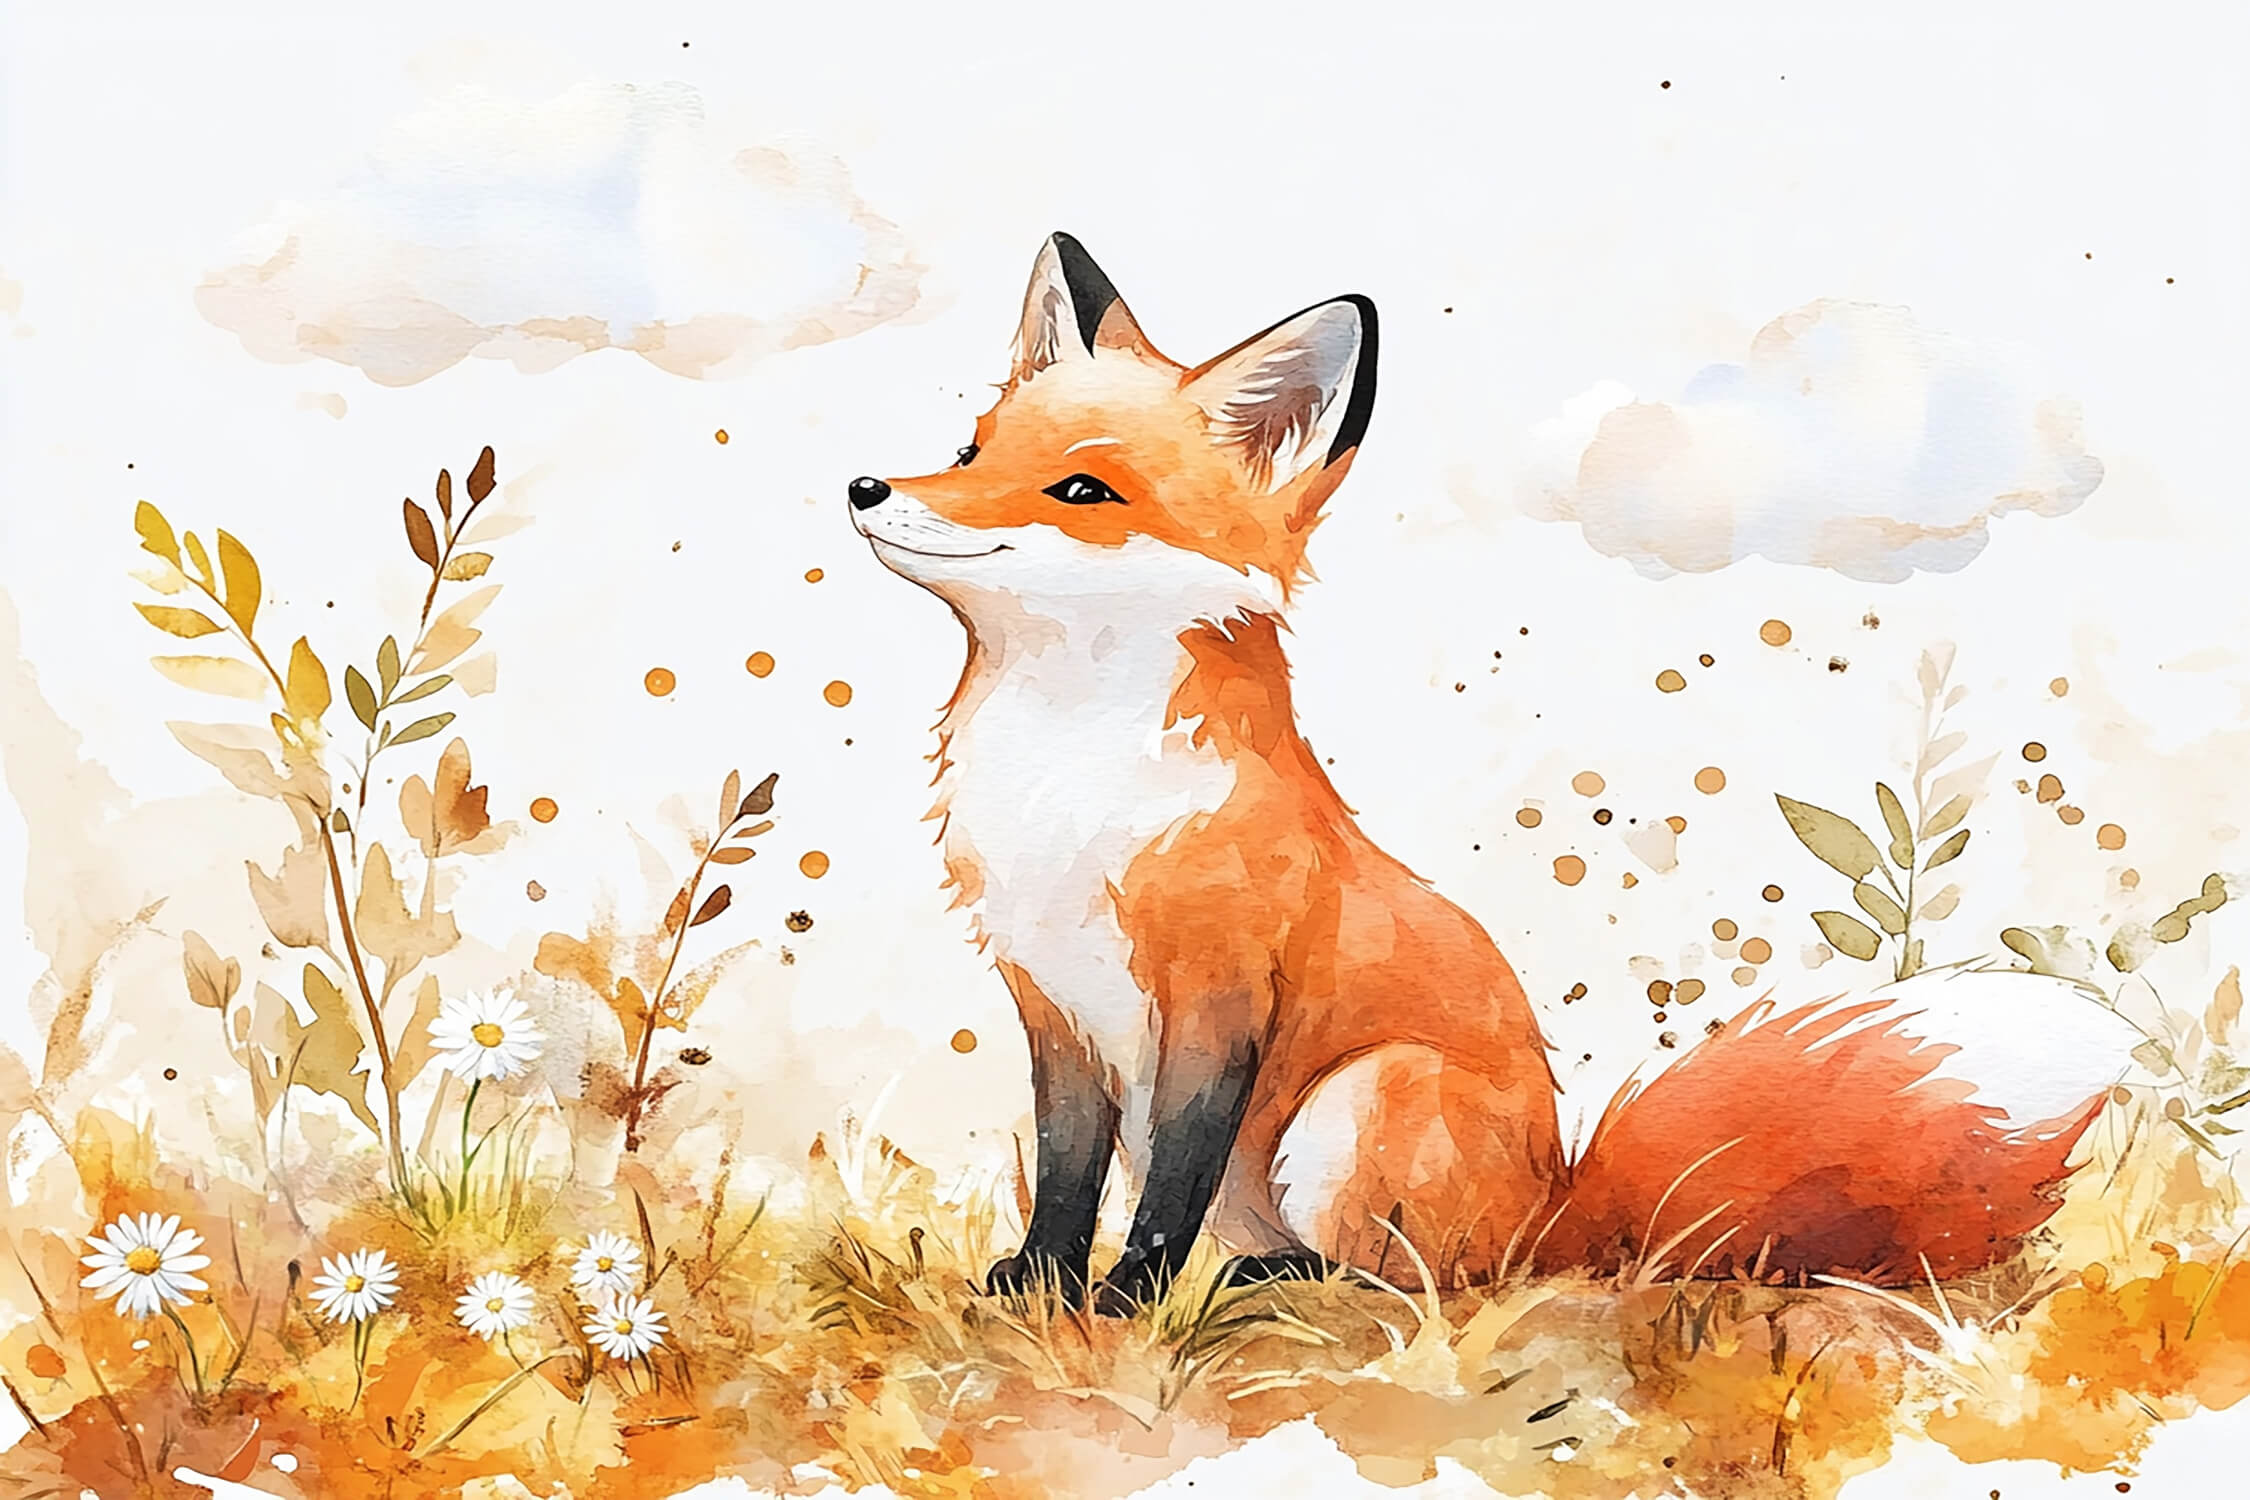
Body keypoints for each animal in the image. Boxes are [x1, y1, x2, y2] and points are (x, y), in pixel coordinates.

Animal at [845, 232, 2134, 1316]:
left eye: (1083, 490)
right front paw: (1037, 1286)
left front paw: (1125, 1303)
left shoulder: (1218, 998)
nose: (866, 487)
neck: (1067, 791)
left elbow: (1165, 1188)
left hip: (1364, 1100)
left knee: (1423, 1278)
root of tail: (1558, 1210)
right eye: (968, 451)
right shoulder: (1053, 1001)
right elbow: (1069, 1175)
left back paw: (1285, 1280)